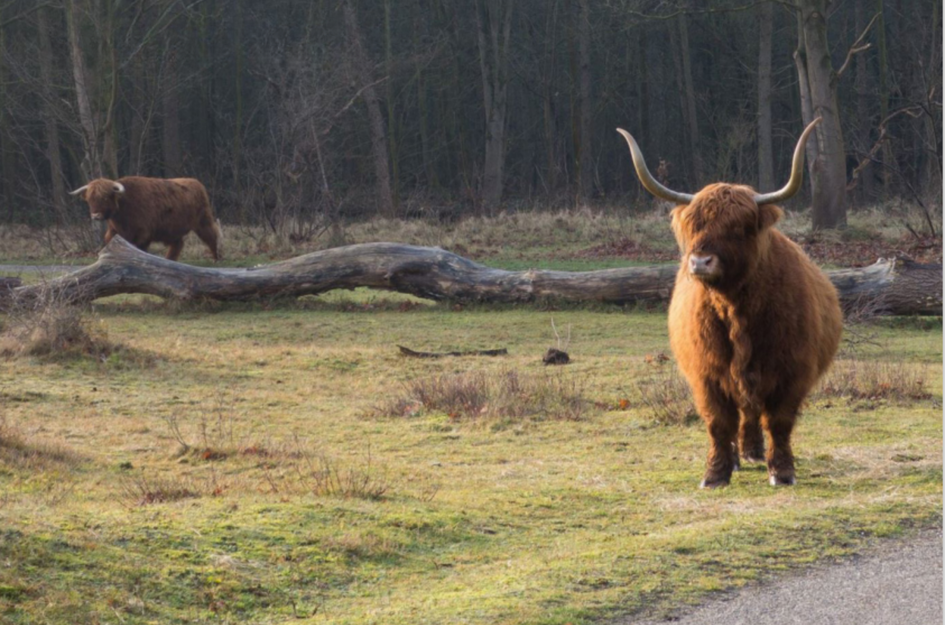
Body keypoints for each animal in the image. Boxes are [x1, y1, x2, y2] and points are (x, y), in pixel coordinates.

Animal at [70, 176, 221, 260]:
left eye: (106, 197)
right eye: (89, 199)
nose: (95, 215)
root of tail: (196, 182)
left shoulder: (143, 235)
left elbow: (139, 249)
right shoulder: (114, 232)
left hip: (203, 221)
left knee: (212, 237)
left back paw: (216, 259)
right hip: (173, 231)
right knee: (177, 244)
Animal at [620, 118, 840, 488]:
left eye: (738, 228)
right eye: (695, 225)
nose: (700, 262)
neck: (735, 309)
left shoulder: (791, 371)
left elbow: (779, 421)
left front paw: (782, 471)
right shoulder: (706, 374)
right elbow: (718, 422)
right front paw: (716, 473)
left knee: (753, 413)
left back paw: (753, 452)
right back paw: (740, 457)